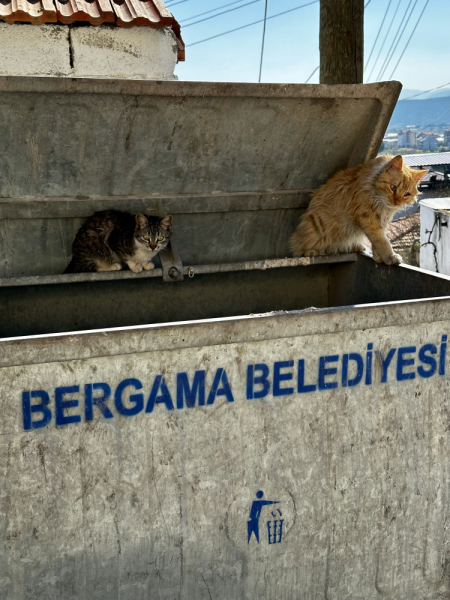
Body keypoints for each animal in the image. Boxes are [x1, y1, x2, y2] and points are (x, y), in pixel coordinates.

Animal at [290, 156, 428, 264]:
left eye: (406, 194)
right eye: (393, 187)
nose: (396, 203)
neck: (381, 204)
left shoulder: (381, 221)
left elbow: (378, 241)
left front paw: (379, 258)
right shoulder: (367, 218)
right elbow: (382, 241)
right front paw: (389, 256)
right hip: (314, 224)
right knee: (301, 250)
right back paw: (318, 251)